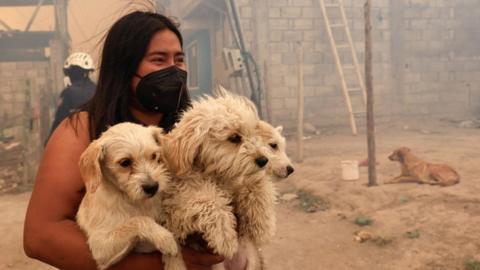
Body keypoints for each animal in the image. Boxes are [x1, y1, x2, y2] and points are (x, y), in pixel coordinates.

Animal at [77, 122, 178, 270]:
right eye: (125, 162)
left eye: (154, 156)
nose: (153, 187)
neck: (135, 202)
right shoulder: (100, 246)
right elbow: (138, 220)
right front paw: (165, 238)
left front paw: (176, 263)